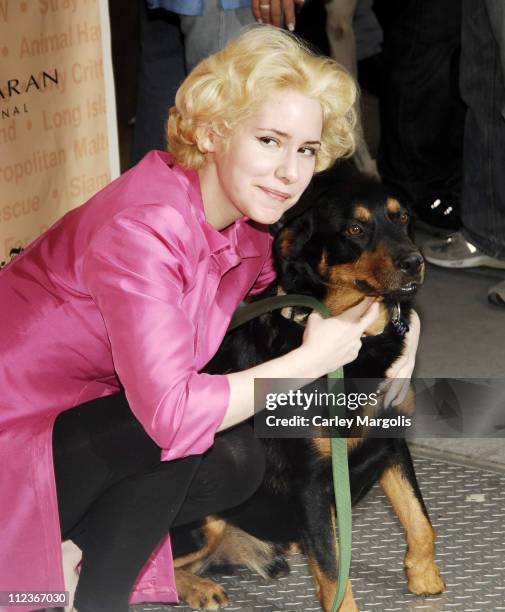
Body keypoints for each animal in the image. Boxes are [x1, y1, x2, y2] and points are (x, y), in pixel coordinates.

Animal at [171, 164, 442, 612]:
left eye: (402, 217)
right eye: (354, 228)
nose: (414, 261)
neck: (357, 337)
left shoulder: (391, 441)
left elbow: (420, 520)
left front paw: (423, 576)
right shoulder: (311, 482)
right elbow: (335, 574)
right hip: (205, 518)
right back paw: (197, 588)